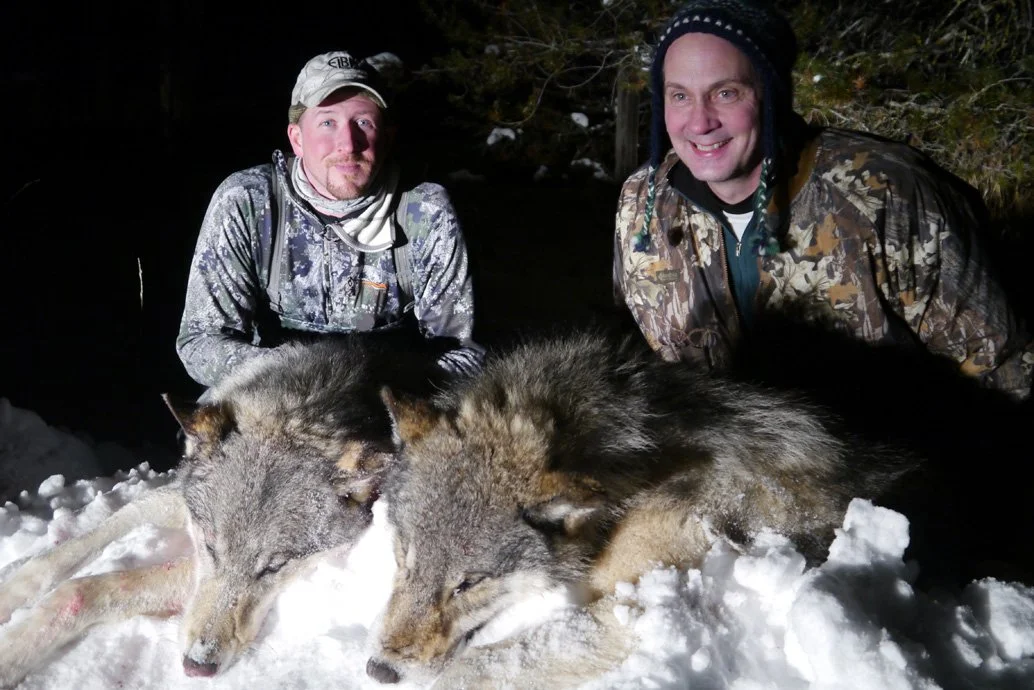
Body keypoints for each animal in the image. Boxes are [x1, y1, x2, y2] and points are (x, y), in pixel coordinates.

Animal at [0, 332, 450, 688]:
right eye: (212, 547)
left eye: (274, 567)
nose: (198, 665)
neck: (303, 406)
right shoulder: (184, 504)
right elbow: (64, 553)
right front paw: (12, 590)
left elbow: (82, 589)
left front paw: (10, 652)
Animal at [363, 330, 921, 687]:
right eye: (404, 557)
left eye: (469, 583)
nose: (380, 671)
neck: (642, 462)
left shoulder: (641, 606)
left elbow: (479, 667)